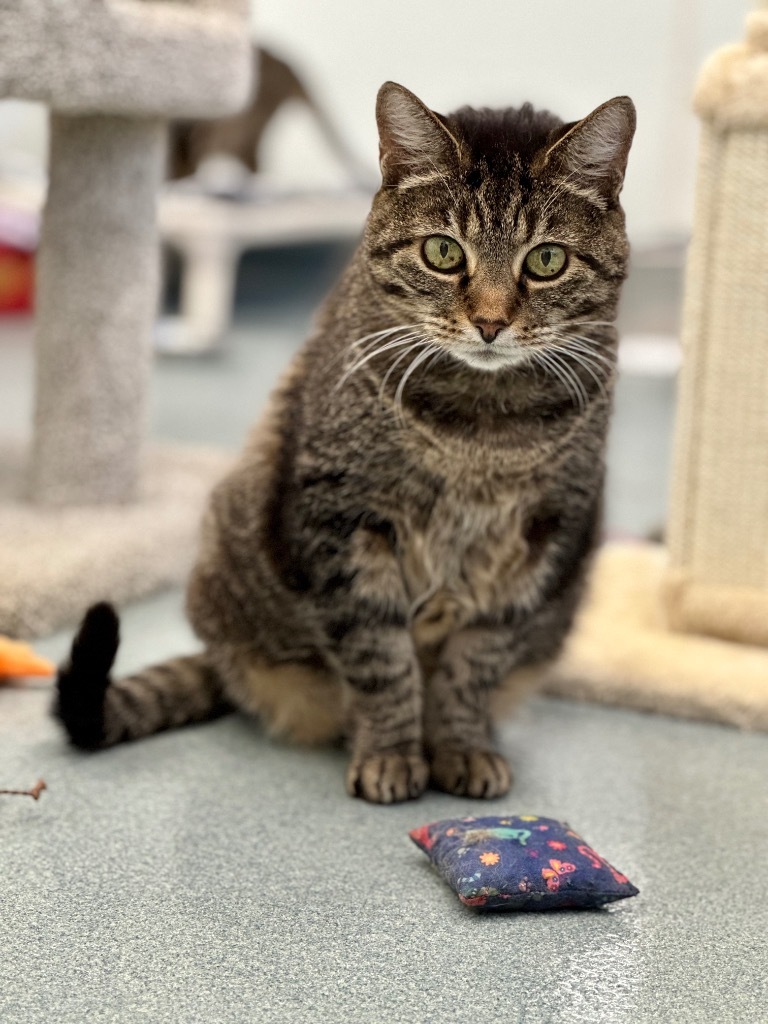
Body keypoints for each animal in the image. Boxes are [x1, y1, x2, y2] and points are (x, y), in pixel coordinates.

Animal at [55, 81, 638, 798]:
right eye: (443, 252)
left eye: (547, 260)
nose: (490, 323)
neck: (481, 430)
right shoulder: (343, 524)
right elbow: (381, 662)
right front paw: (391, 754)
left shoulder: (540, 542)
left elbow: (472, 669)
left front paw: (461, 747)